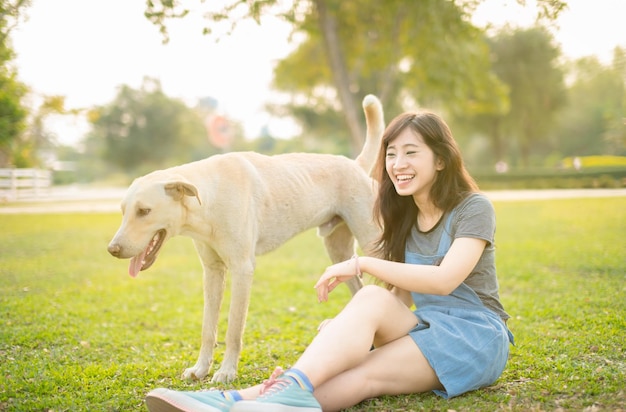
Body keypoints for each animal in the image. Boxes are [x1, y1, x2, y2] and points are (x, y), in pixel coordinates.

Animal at [105, 94, 382, 384]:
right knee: (360, 288)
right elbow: (208, 328)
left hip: (372, 243)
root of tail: (355, 164)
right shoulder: (212, 272)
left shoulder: (241, 270)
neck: (209, 198)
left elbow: (233, 330)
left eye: (144, 211)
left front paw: (226, 371)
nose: (112, 249)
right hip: (338, 253)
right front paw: (201, 368)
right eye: (123, 211)